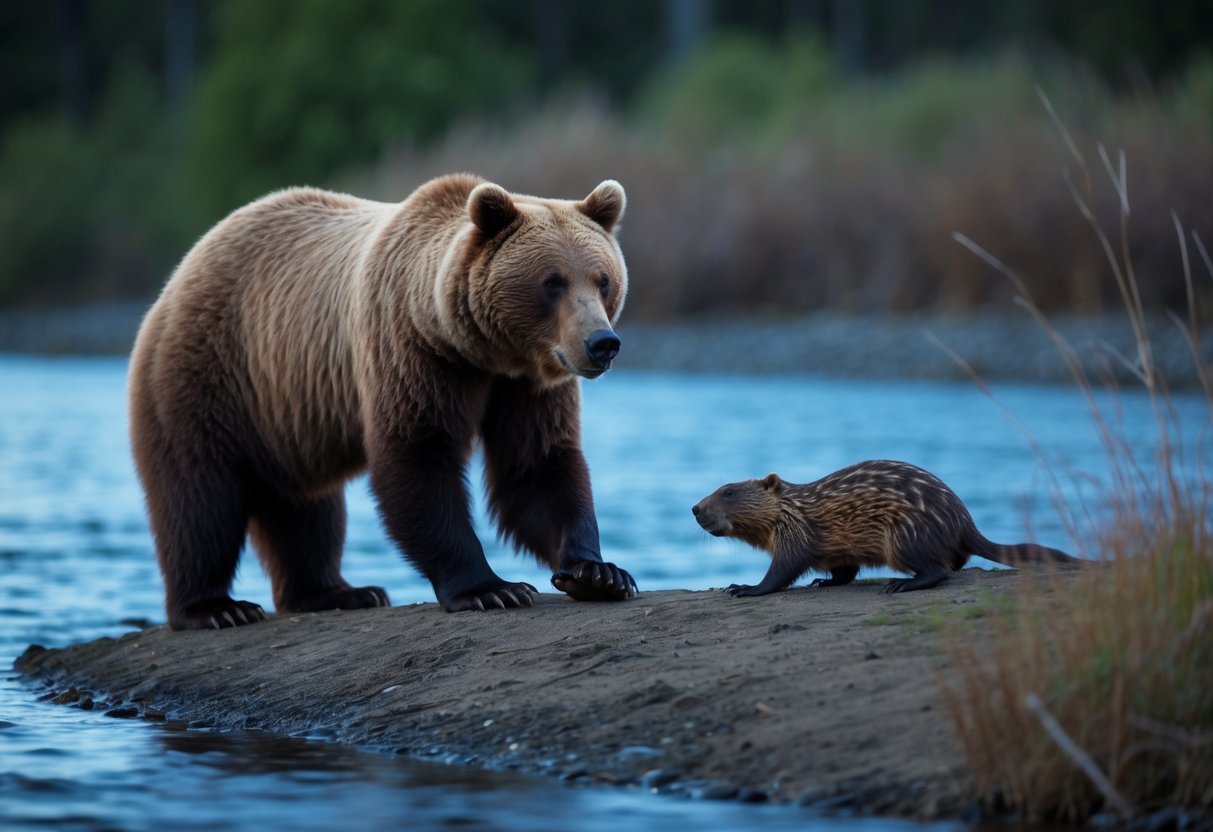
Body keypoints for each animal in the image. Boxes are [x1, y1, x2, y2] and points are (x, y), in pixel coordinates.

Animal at [128, 174, 638, 630]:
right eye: (552, 282)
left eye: (603, 279)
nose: (602, 343)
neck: (482, 351)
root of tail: (185, 266)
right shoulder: (411, 351)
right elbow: (417, 458)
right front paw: (492, 589)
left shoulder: (527, 386)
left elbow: (537, 465)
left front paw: (600, 572)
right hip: (208, 375)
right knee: (200, 498)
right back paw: (215, 608)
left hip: (284, 412)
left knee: (306, 509)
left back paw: (337, 592)